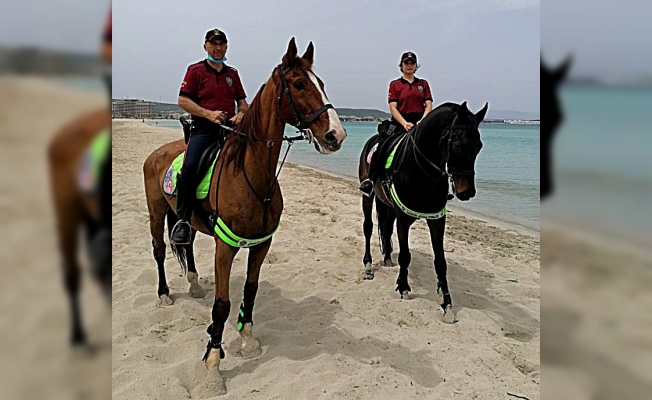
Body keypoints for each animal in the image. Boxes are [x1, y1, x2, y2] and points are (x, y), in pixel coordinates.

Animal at [142, 39, 346, 396]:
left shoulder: (261, 244)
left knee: (186, 244)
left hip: (185, 221)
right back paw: (165, 294)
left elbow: (250, 289)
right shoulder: (225, 248)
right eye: (299, 84)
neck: (252, 177)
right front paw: (212, 365)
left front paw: (247, 340)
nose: (336, 134)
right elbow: (222, 304)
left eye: (320, 82)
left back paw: (194, 284)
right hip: (156, 212)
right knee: (158, 250)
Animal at [360, 101, 486, 324]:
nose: (467, 192)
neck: (423, 172)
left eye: (479, 146)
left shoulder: (437, 220)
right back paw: (368, 266)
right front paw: (403, 287)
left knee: (385, 228)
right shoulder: (403, 219)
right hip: (368, 197)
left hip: (388, 206)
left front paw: (447, 304)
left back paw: (387, 259)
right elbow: (405, 255)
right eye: (457, 146)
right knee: (368, 228)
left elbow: (440, 262)